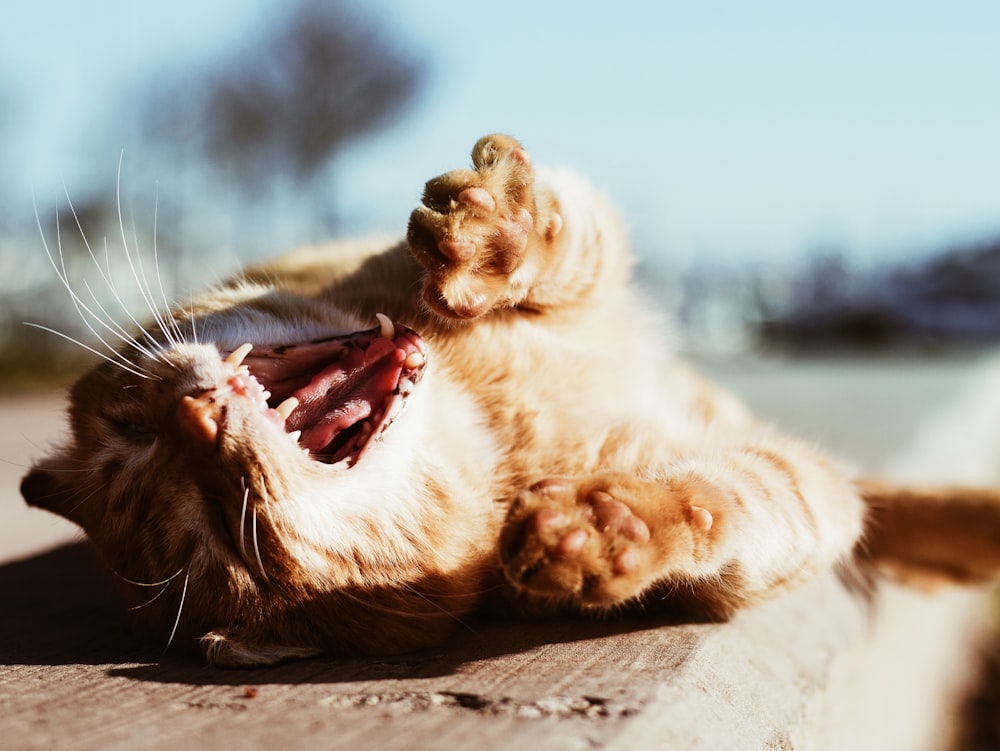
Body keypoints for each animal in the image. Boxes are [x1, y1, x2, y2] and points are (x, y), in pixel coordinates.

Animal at [19, 137, 1000, 668]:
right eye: (221, 531)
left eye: (132, 428)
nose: (197, 419)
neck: (487, 417)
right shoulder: (783, 504)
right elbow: (735, 506)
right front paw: (607, 529)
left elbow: (572, 238)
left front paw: (495, 237)